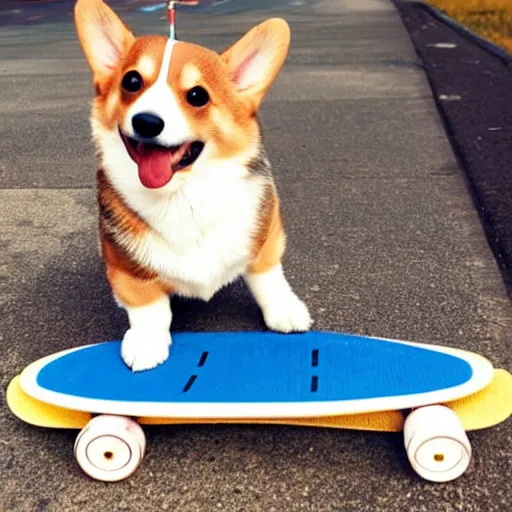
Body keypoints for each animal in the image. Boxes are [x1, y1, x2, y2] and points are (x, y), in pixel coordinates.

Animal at [73, 0, 310, 370]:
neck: (183, 195)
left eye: (197, 96)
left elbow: (267, 276)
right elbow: (147, 307)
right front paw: (147, 342)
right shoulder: (127, 269)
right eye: (131, 81)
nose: (147, 122)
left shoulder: (265, 233)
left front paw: (285, 311)